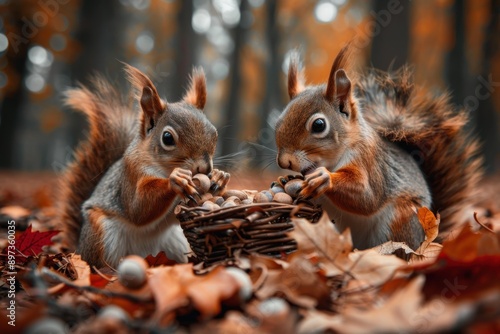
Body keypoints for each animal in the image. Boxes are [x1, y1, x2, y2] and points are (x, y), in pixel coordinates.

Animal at [276, 45, 482, 252]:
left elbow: (368, 197)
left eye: (319, 125)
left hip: (399, 220)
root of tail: (425, 241)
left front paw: (325, 179)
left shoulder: (369, 160)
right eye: (278, 121)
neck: (332, 160)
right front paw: (285, 179)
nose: (284, 162)